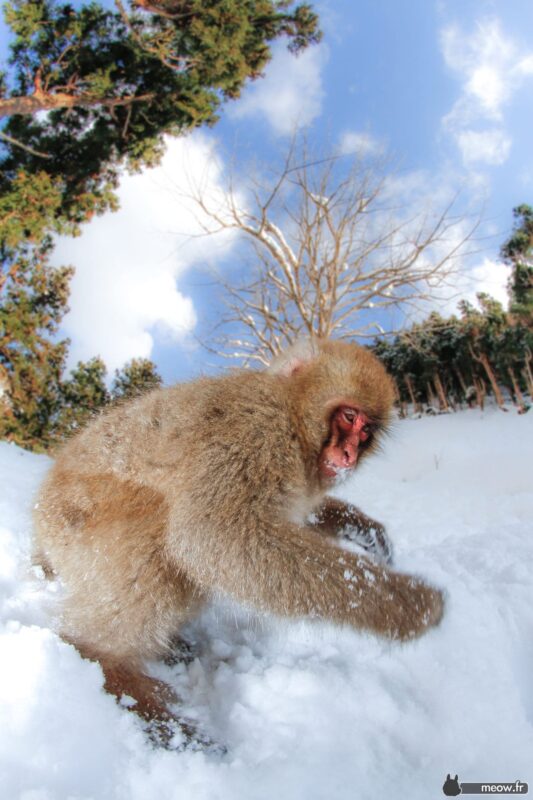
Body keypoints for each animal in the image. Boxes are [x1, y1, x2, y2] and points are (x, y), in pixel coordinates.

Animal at [33, 339, 444, 743]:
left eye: (366, 431)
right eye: (348, 417)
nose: (349, 454)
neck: (293, 418)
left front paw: (361, 528)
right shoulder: (254, 429)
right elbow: (211, 533)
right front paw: (405, 604)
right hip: (75, 520)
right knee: (158, 548)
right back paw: (112, 668)